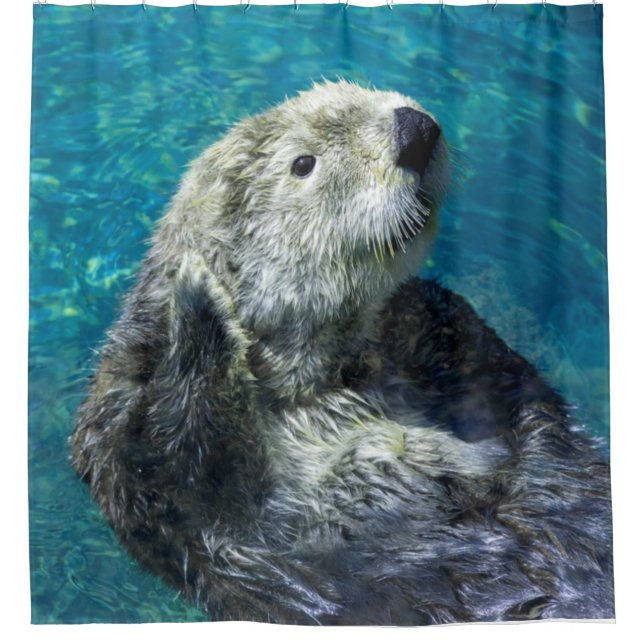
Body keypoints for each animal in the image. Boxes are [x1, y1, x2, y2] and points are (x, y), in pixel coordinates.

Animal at [71, 81, 613, 624]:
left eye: (366, 90)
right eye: (303, 164)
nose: (414, 128)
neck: (330, 381)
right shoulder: (136, 457)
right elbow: (184, 468)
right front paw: (198, 298)